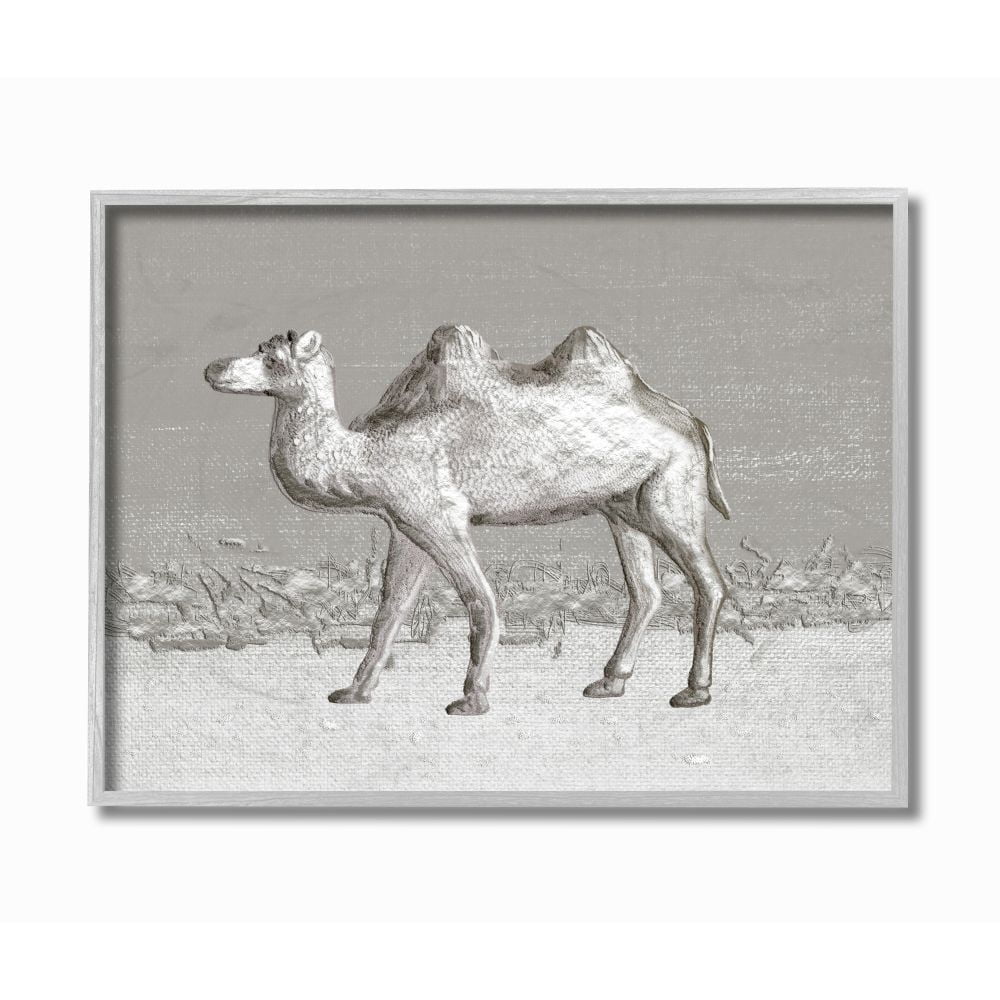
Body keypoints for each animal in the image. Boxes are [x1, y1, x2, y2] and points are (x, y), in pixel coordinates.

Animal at [205, 324, 731, 716]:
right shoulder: (407, 527)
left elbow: (481, 599)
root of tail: (694, 423)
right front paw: (354, 692)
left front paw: (472, 698)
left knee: (708, 582)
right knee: (646, 590)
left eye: (274, 358)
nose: (213, 367)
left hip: (669, 495)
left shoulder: (440, 517)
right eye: (259, 347)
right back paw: (610, 682)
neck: (368, 454)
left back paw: (694, 690)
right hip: (622, 507)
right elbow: (390, 609)